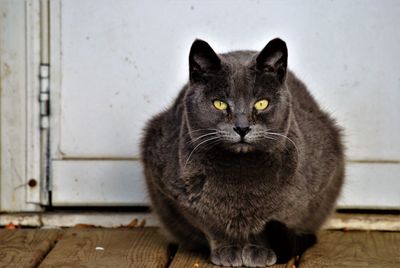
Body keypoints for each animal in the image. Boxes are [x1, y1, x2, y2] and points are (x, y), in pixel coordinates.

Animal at [141, 38, 344, 268]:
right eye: (219, 103)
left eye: (262, 103)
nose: (242, 127)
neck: (240, 174)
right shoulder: (174, 192)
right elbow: (211, 226)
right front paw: (227, 250)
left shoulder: (306, 196)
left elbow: (270, 224)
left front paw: (259, 251)